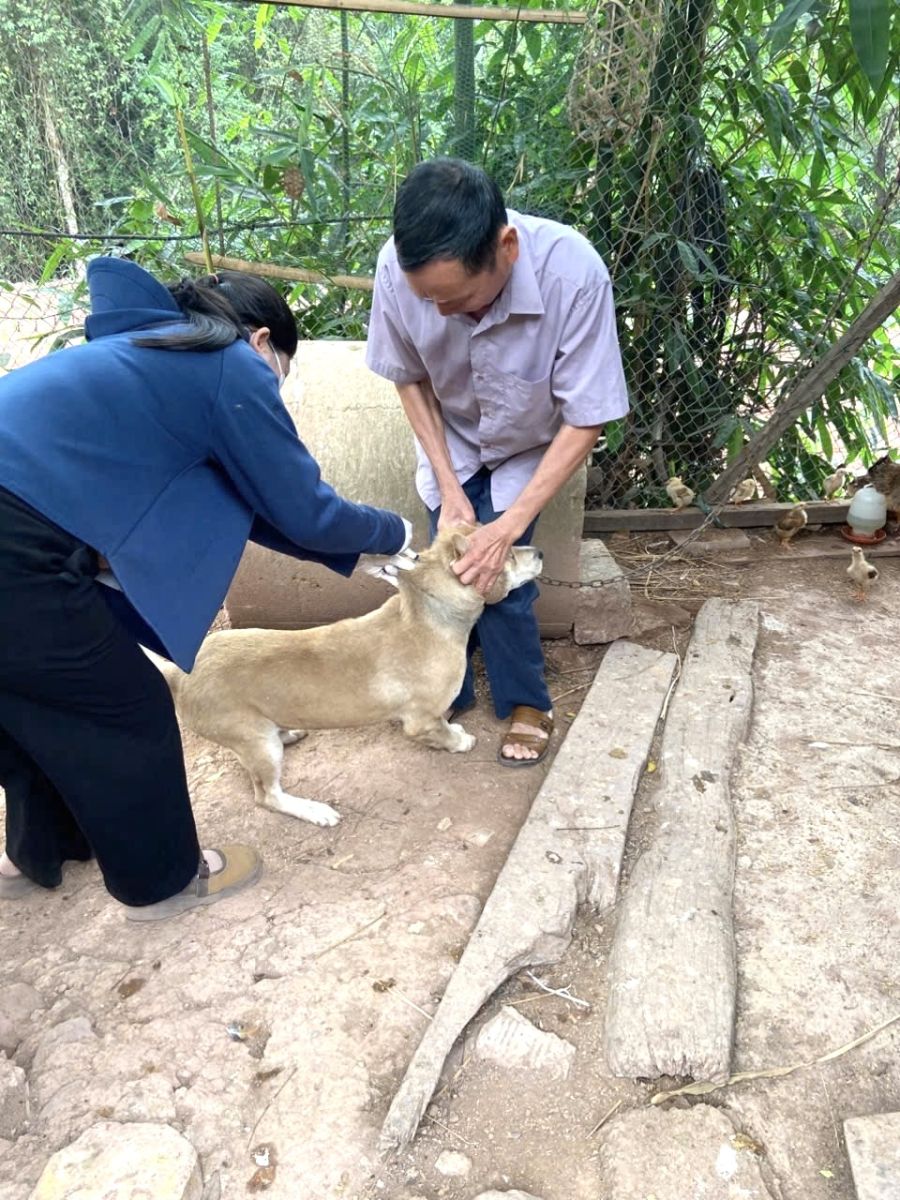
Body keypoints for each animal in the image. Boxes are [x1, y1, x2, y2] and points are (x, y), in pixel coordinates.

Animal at [149, 525, 542, 826]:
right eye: (507, 555)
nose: (538, 551)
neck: (427, 611)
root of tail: (179, 675)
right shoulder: (422, 720)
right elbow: (443, 732)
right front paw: (459, 740)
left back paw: (288, 732)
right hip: (256, 745)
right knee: (267, 796)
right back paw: (313, 810)